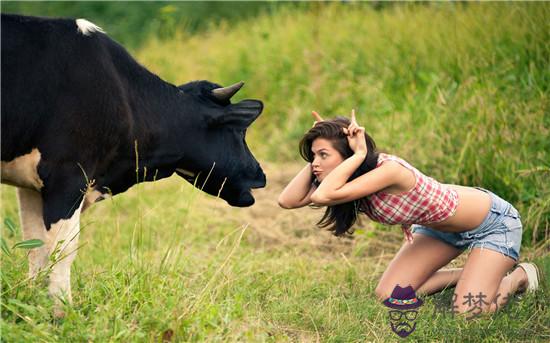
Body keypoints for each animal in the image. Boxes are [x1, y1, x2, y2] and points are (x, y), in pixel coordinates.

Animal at [0, 14, 268, 318]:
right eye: (239, 131)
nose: (261, 174)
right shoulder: (67, 176)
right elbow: (63, 250)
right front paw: (61, 312)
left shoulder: (32, 185)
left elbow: (35, 247)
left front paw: (34, 305)